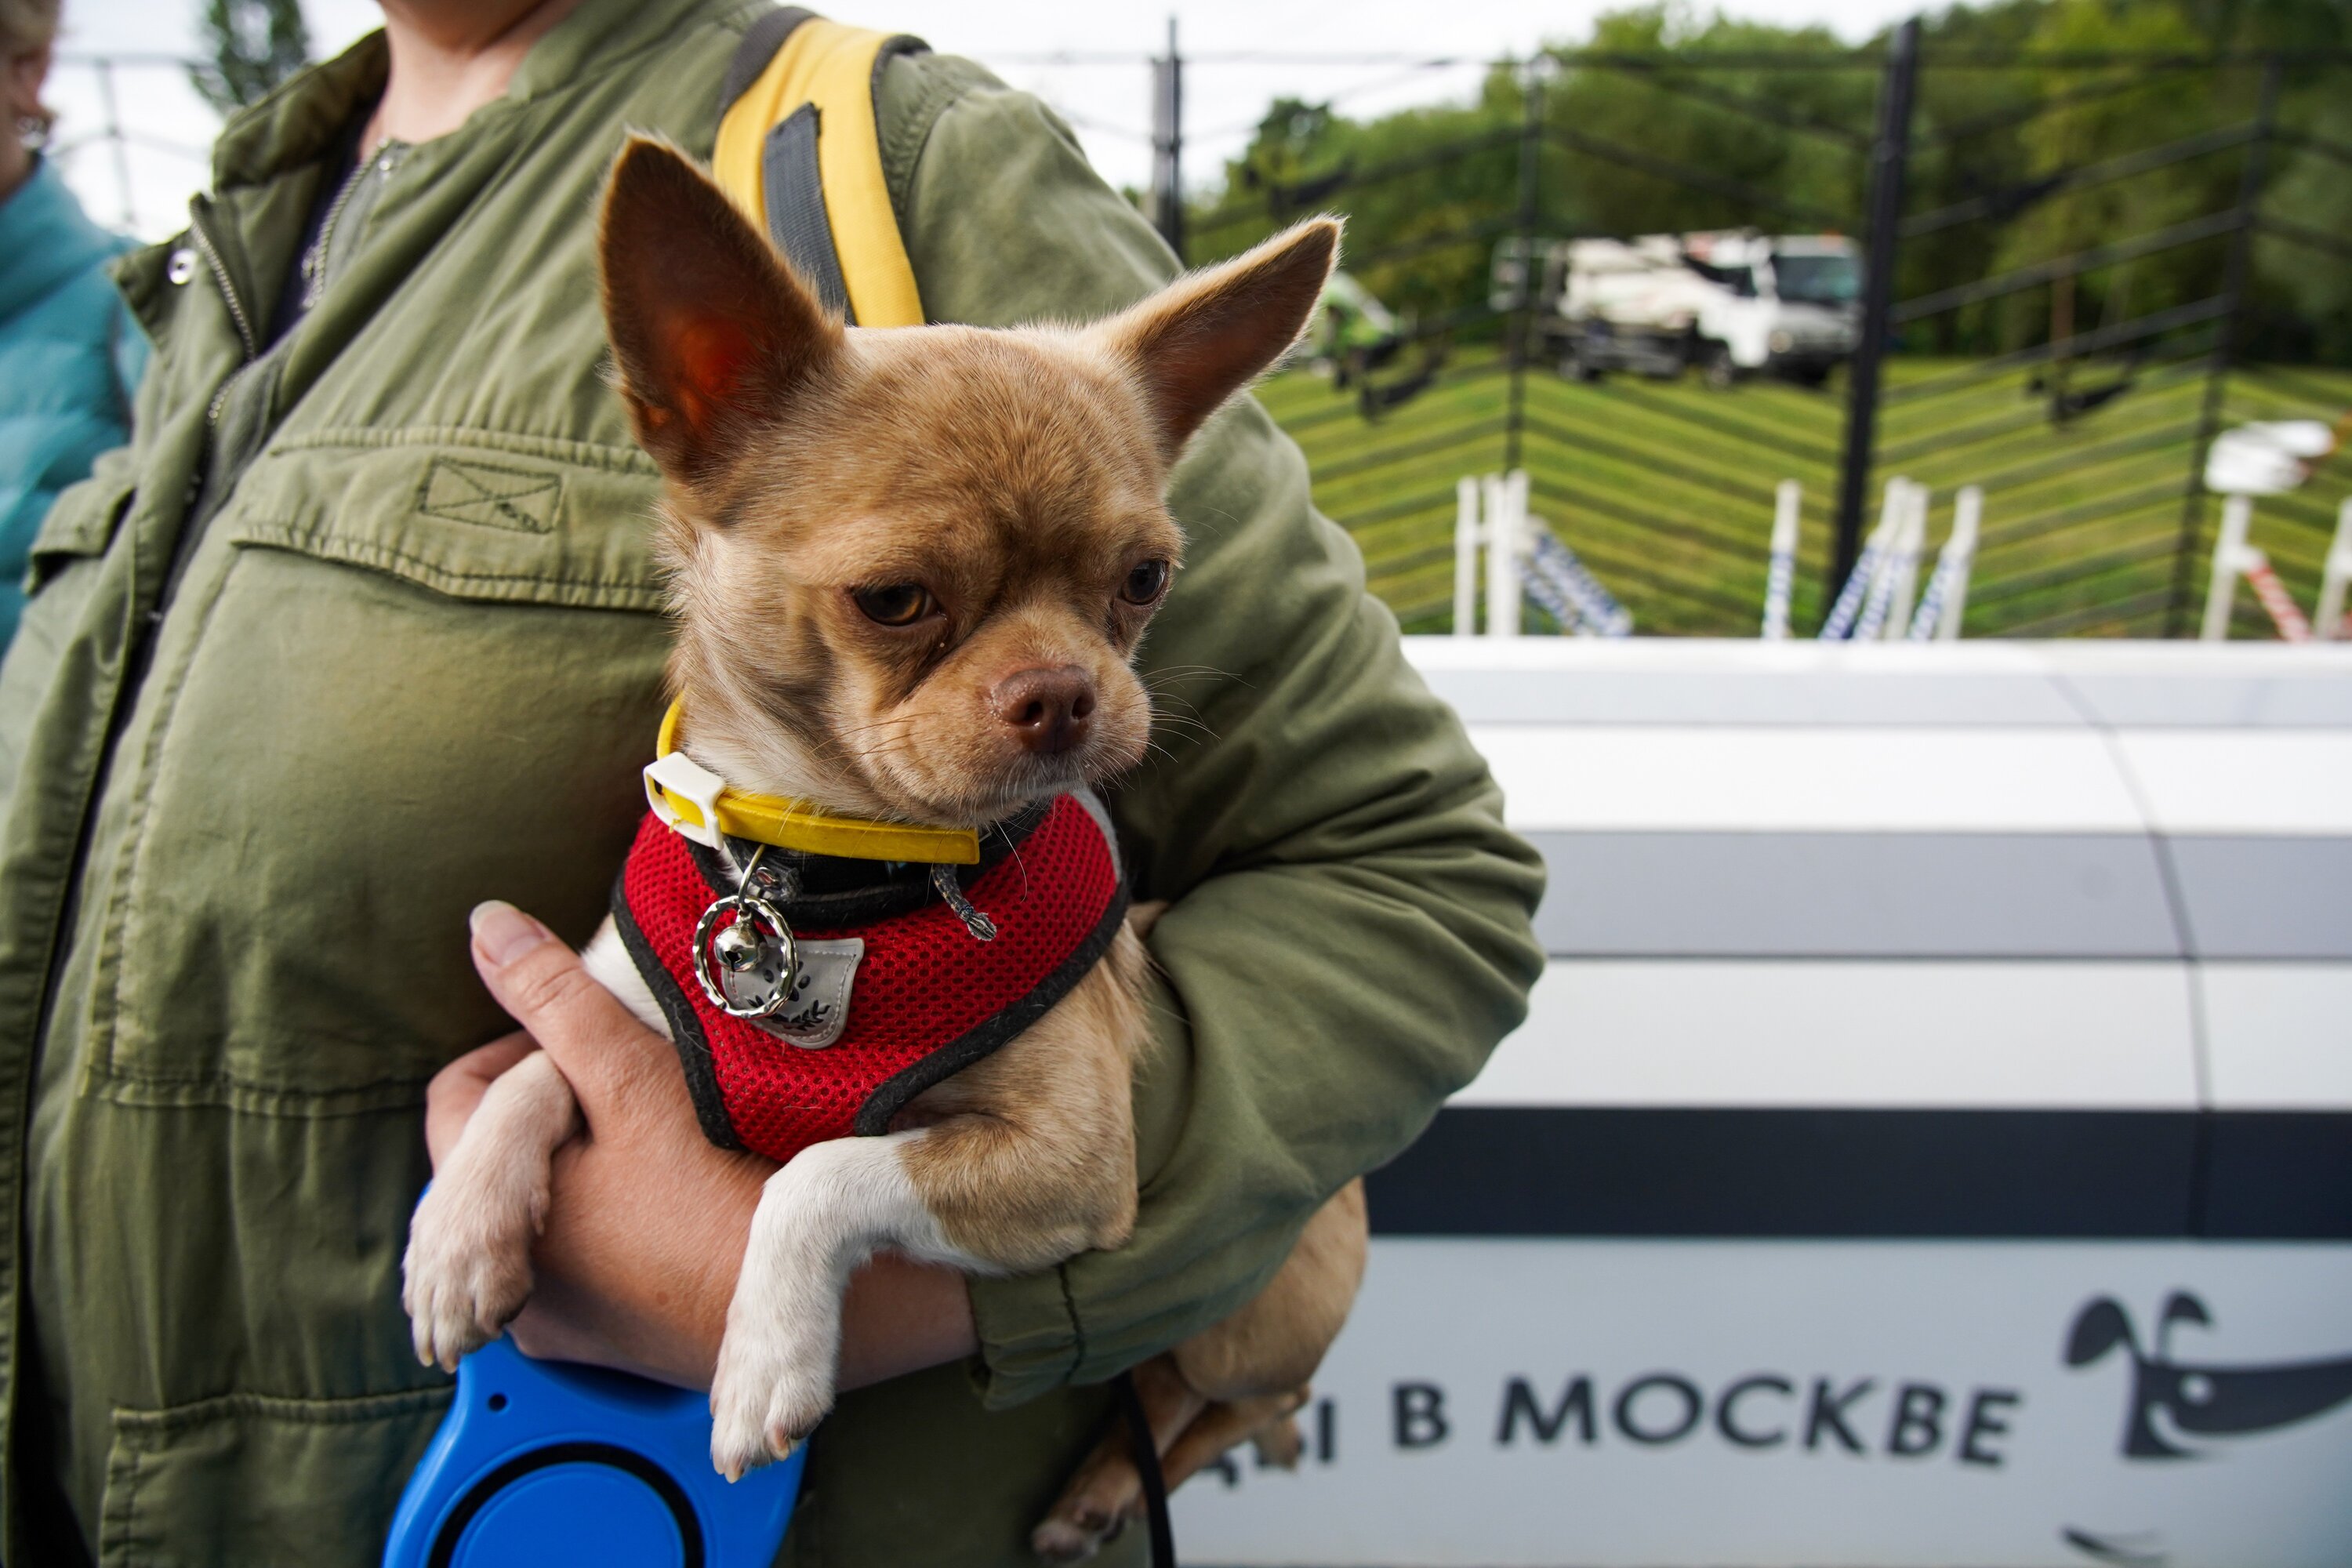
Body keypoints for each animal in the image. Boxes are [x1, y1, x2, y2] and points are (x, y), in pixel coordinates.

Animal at [397, 138, 1374, 1561]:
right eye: (895, 600)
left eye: (1144, 581)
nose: (1066, 692)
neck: (827, 871)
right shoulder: (621, 1011)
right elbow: (531, 1069)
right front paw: (456, 1235)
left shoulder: (1068, 1166)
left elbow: (819, 1170)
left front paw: (763, 1359)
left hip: (1251, 1315)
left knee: (1229, 1399)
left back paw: (1103, 1489)